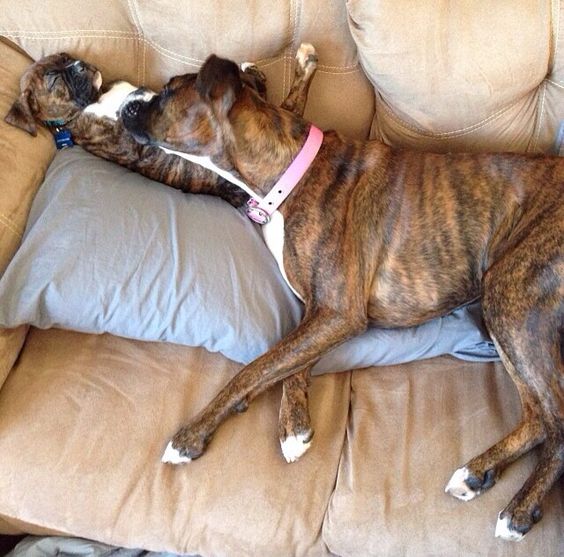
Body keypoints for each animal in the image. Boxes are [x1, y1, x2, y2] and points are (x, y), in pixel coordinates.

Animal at [122, 45, 564, 540]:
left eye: (168, 92)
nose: (129, 102)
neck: (289, 172)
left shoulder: (337, 312)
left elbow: (257, 367)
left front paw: (192, 434)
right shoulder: (322, 311)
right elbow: (286, 361)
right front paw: (294, 425)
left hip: (509, 296)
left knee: (556, 420)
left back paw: (520, 509)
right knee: (538, 417)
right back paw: (476, 474)